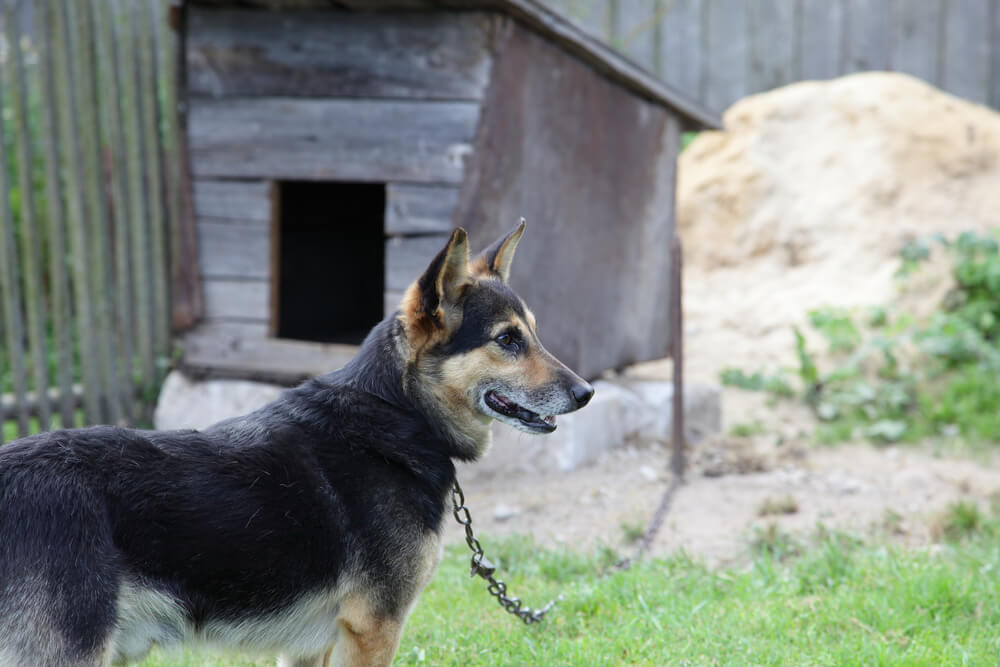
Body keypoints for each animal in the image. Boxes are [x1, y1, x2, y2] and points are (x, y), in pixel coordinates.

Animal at [0, 226, 592, 667]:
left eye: (533, 334)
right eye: (507, 340)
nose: (586, 393)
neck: (397, 416)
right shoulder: (373, 632)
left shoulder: (310, 648)